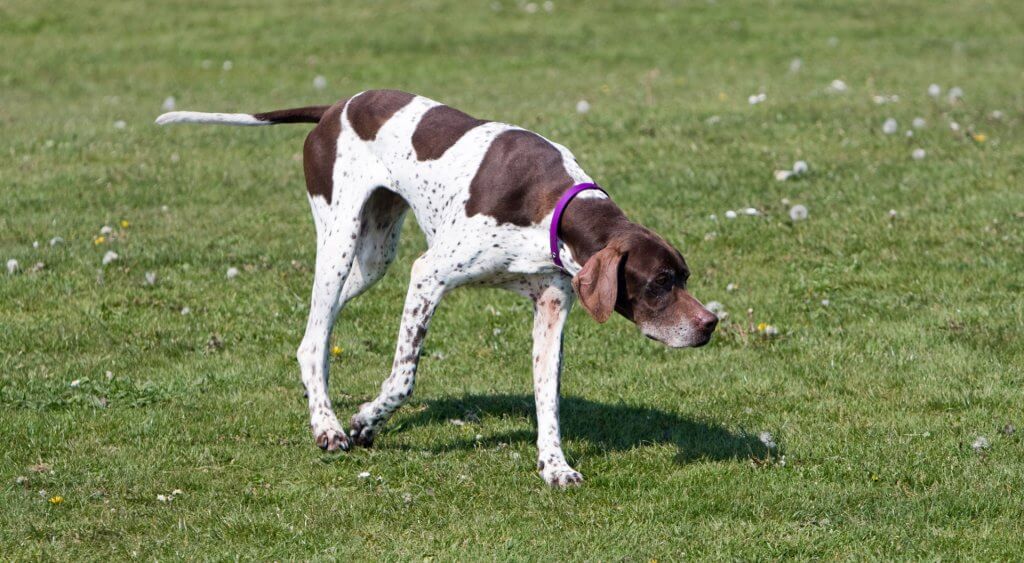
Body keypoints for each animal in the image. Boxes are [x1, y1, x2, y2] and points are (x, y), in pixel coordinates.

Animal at [157, 90, 720, 487]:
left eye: (684, 277)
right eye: (659, 283)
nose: (710, 324)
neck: (553, 205)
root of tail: (335, 107)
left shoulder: (552, 307)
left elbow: (548, 398)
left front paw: (554, 466)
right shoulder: (428, 274)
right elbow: (404, 378)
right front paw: (366, 421)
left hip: (373, 259)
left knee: (313, 333)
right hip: (339, 241)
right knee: (315, 338)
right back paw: (328, 426)